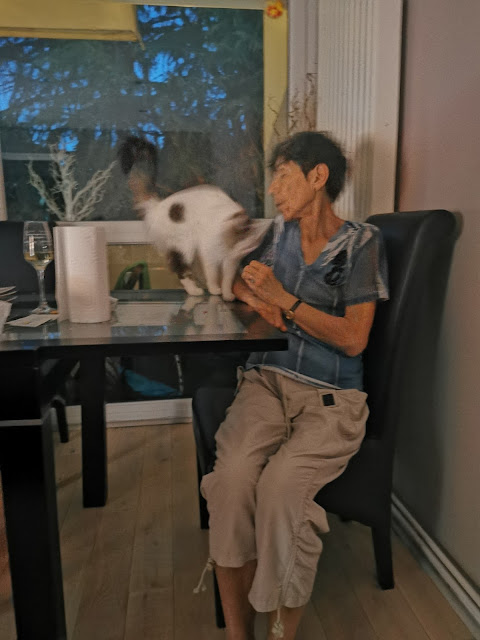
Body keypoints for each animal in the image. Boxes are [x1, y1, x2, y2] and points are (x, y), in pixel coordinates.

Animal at [118, 136, 272, 301]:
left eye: (252, 245)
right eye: (246, 242)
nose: (243, 252)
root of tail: (157, 206)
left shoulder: (230, 263)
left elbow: (227, 280)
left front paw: (227, 294)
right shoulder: (209, 254)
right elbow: (212, 276)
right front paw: (214, 290)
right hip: (185, 246)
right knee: (181, 271)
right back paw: (194, 291)